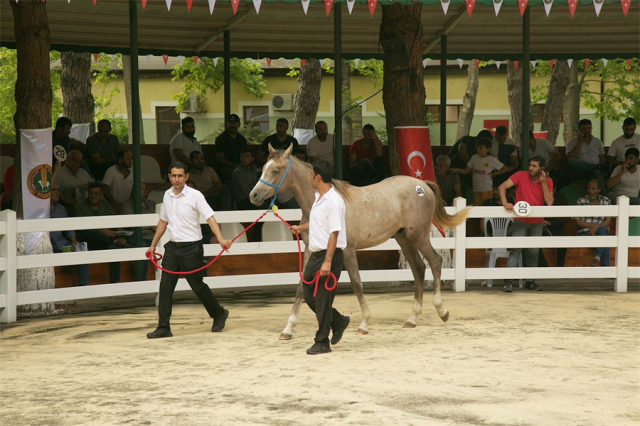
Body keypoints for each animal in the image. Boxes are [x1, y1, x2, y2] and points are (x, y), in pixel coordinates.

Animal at [250, 145, 470, 342]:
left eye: (276, 170)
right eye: (263, 168)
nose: (254, 195)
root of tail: (422, 185)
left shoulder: (347, 250)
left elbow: (357, 284)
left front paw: (364, 324)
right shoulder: (309, 249)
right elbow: (300, 288)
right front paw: (288, 329)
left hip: (418, 236)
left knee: (435, 262)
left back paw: (442, 311)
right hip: (403, 238)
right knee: (418, 268)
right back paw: (412, 318)